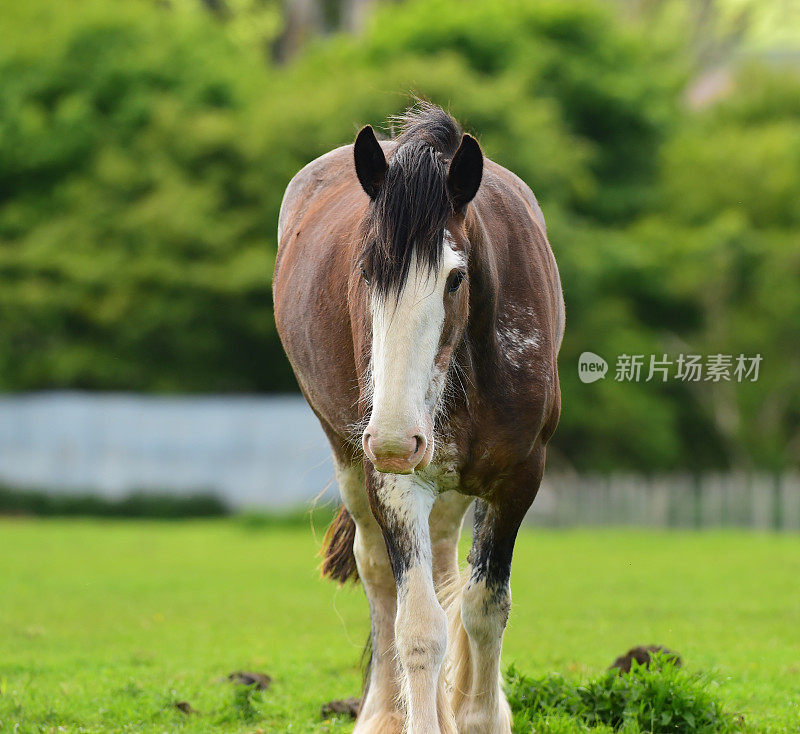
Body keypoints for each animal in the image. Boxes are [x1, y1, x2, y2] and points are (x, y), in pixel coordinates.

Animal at [274, 105, 564, 734]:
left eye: (455, 277)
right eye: (366, 273)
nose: (392, 440)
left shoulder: (518, 480)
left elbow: (483, 607)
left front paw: (479, 717)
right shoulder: (395, 482)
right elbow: (419, 626)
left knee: (448, 569)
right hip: (351, 457)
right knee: (381, 575)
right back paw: (384, 712)